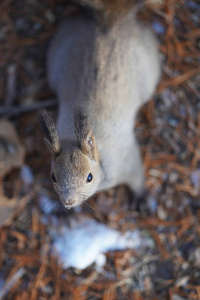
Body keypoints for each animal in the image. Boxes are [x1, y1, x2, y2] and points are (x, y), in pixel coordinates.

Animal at [38, 0, 161, 210]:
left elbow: (137, 176)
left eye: (89, 177)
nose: (68, 202)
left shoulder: (128, 160)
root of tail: (108, 26)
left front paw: (141, 196)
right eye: (53, 176)